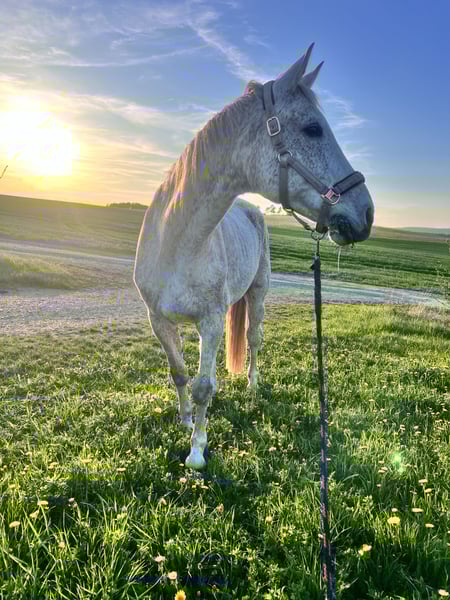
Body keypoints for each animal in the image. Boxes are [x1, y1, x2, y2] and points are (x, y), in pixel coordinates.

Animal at [134, 44, 374, 469]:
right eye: (313, 129)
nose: (367, 213)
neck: (177, 245)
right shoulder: (158, 320)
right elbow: (179, 373)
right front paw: (185, 421)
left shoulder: (211, 322)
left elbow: (203, 385)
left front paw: (197, 450)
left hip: (259, 294)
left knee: (254, 337)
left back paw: (252, 382)